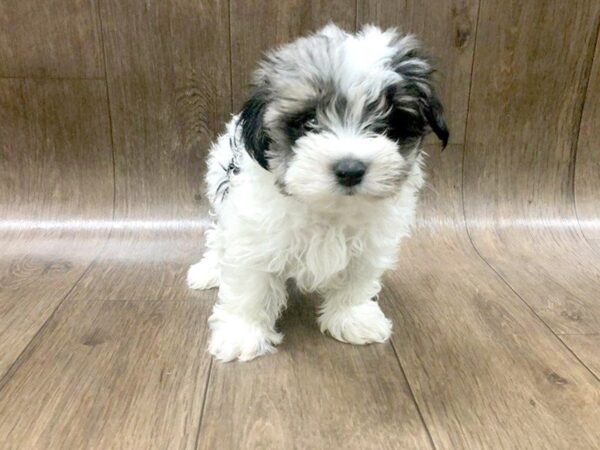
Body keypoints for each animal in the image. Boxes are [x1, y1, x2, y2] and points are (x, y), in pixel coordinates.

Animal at [188, 23, 446, 362]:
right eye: (309, 122)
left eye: (387, 125)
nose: (350, 169)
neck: (329, 208)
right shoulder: (253, 233)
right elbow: (250, 285)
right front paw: (242, 333)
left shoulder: (369, 245)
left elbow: (356, 280)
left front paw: (353, 317)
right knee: (218, 238)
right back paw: (208, 270)